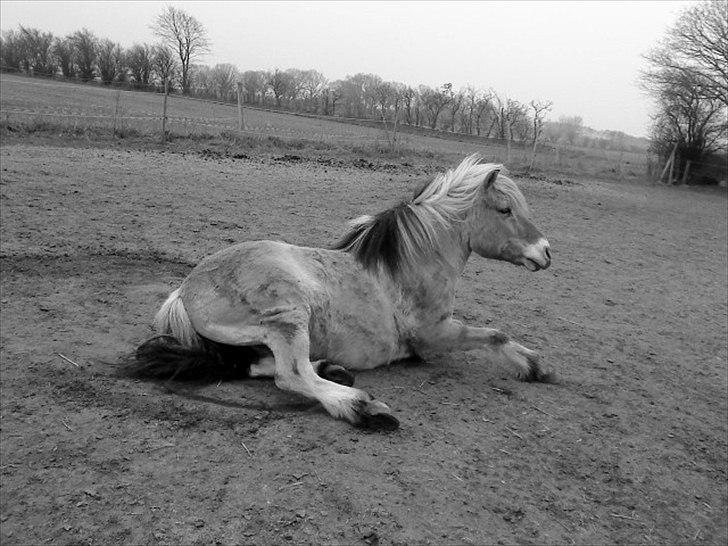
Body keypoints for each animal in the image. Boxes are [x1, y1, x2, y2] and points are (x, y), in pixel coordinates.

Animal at [129, 154, 552, 430]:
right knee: (290, 374)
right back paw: (363, 409)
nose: (546, 251)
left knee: (257, 366)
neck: (408, 265)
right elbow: (496, 334)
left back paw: (332, 369)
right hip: (288, 317)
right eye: (504, 210)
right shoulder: (432, 337)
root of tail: (184, 290)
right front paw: (534, 366)